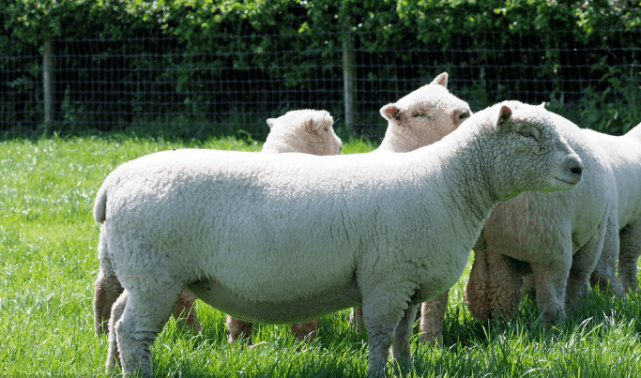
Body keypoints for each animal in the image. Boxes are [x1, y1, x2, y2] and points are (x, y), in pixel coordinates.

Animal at [93, 108, 342, 336]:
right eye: (336, 142)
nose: (341, 151)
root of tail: (109, 184)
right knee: (178, 299)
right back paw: (192, 333)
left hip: (112, 251)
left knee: (104, 288)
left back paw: (102, 331)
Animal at [420, 105, 620, 346]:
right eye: (526, 134)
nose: (578, 168)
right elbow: (488, 297)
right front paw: (431, 342)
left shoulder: (552, 253)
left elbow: (551, 299)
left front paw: (554, 333)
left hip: (595, 237)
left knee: (580, 277)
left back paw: (584, 308)